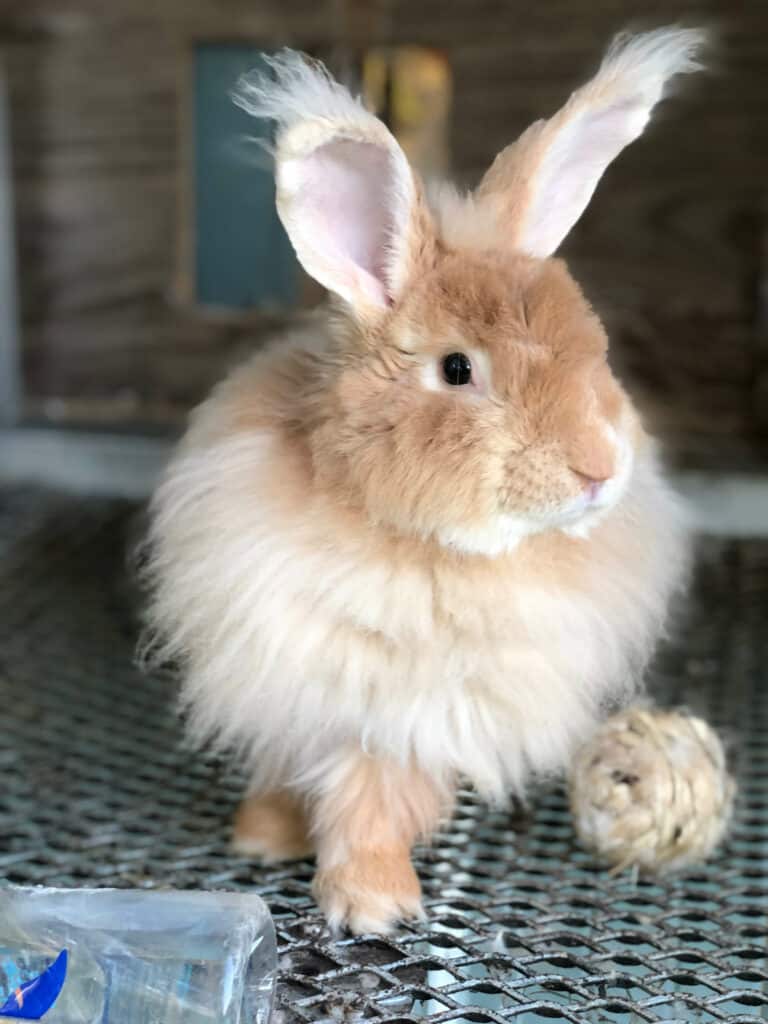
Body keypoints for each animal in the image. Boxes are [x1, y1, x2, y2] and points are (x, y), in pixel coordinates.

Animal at [144, 25, 704, 937]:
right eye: (456, 369)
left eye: (596, 353)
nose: (598, 468)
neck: (428, 548)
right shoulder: (301, 684)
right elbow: (315, 783)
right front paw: (285, 852)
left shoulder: (410, 722)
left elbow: (371, 802)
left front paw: (370, 901)